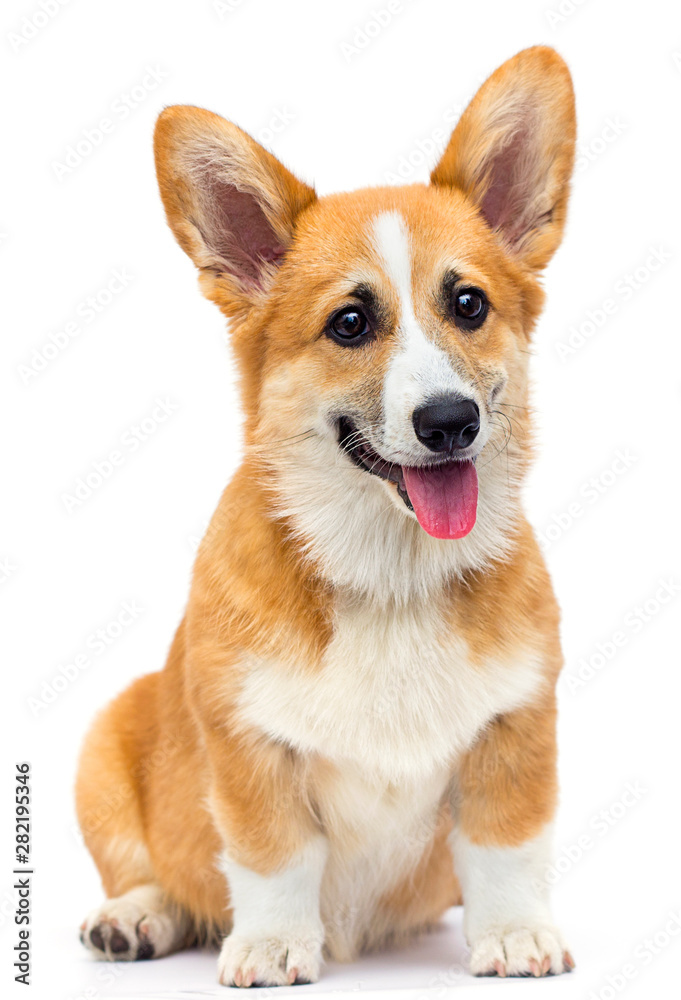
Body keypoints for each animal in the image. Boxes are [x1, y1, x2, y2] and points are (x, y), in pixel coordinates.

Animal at [78, 47, 580, 984]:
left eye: (468, 305)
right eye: (349, 323)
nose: (449, 421)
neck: (391, 576)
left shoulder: (516, 724)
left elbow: (503, 846)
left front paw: (514, 935)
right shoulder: (248, 746)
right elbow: (274, 857)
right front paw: (274, 945)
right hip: (103, 745)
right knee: (149, 870)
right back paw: (136, 918)